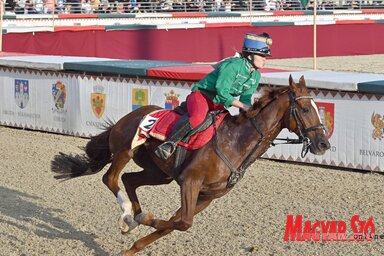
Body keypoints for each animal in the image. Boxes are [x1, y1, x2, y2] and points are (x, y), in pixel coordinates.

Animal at [51, 75, 330, 255]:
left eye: (319, 108)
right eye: (305, 108)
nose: (323, 144)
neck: (235, 142)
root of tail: (130, 115)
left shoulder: (207, 196)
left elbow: (177, 222)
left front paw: (134, 245)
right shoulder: (190, 182)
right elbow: (182, 223)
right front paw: (146, 219)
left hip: (159, 172)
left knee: (129, 179)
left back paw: (132, 218)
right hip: (125, 149)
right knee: (110, 178)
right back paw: (128, 215)